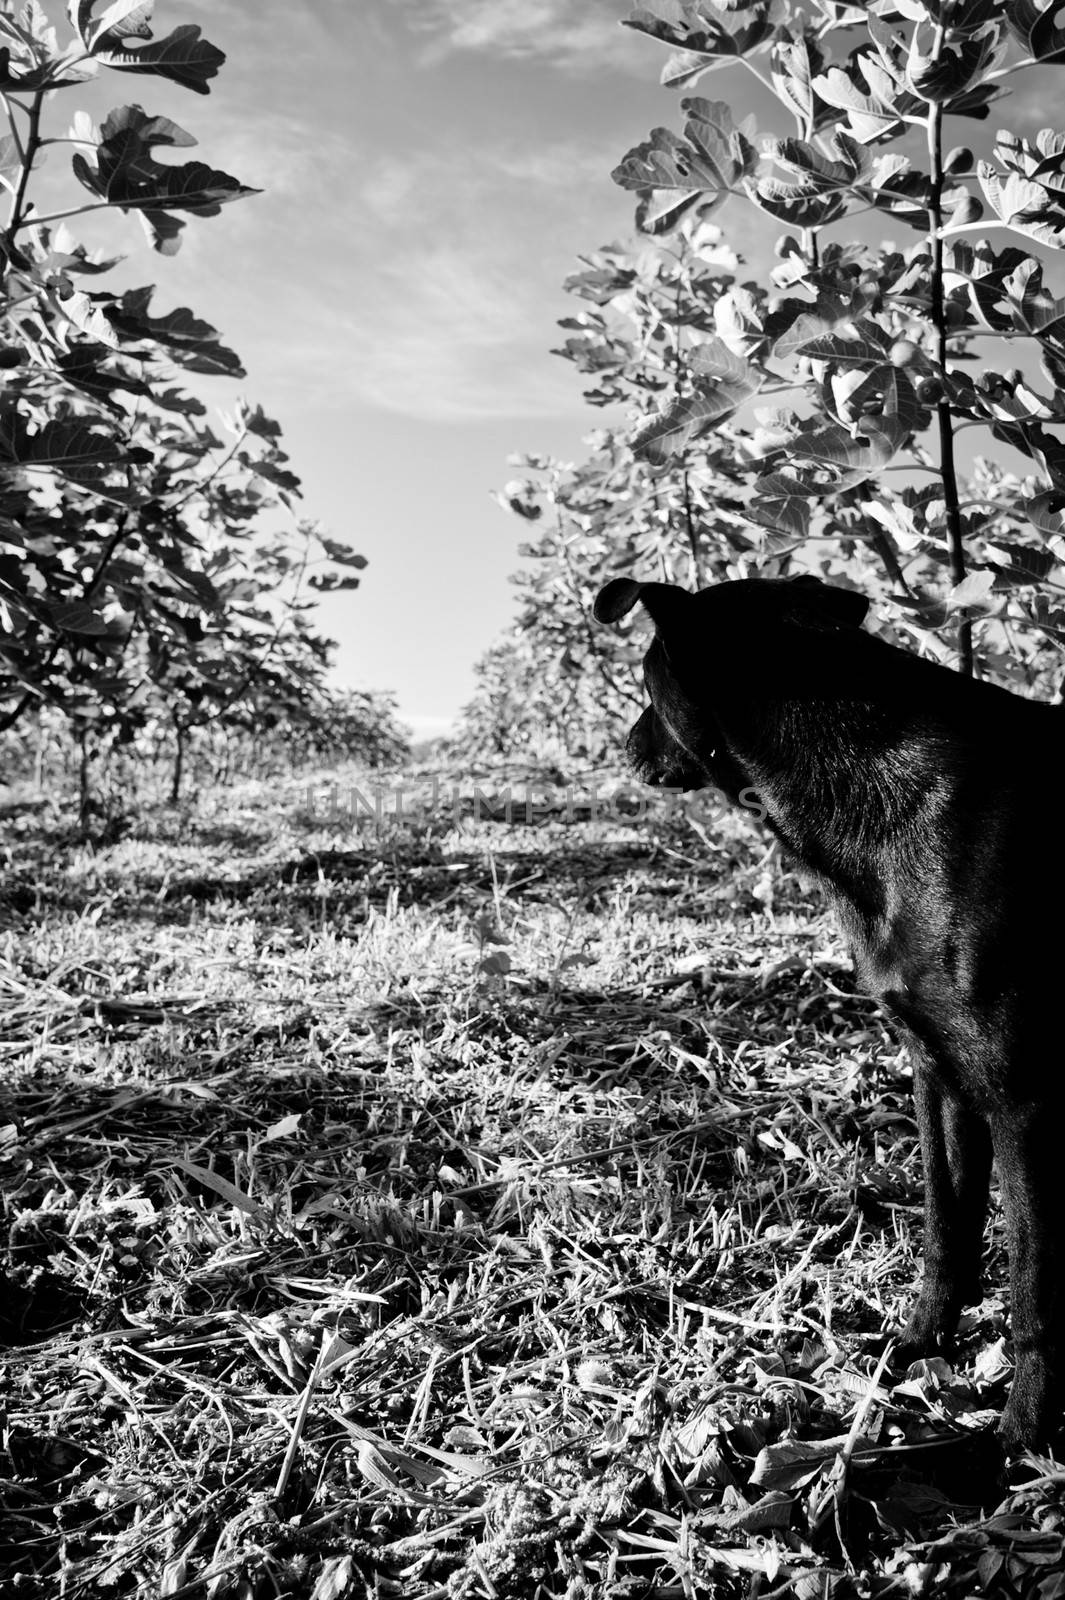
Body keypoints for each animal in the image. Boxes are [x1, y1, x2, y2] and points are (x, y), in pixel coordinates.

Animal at [591, 576, 1061, 1452]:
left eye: (643, 679)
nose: (628, 743)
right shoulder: (937, 1075)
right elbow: (946, 1230)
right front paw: (918, 1344)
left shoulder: (1023, 1104)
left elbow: (1034, 1288)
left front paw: (1023, 1435)